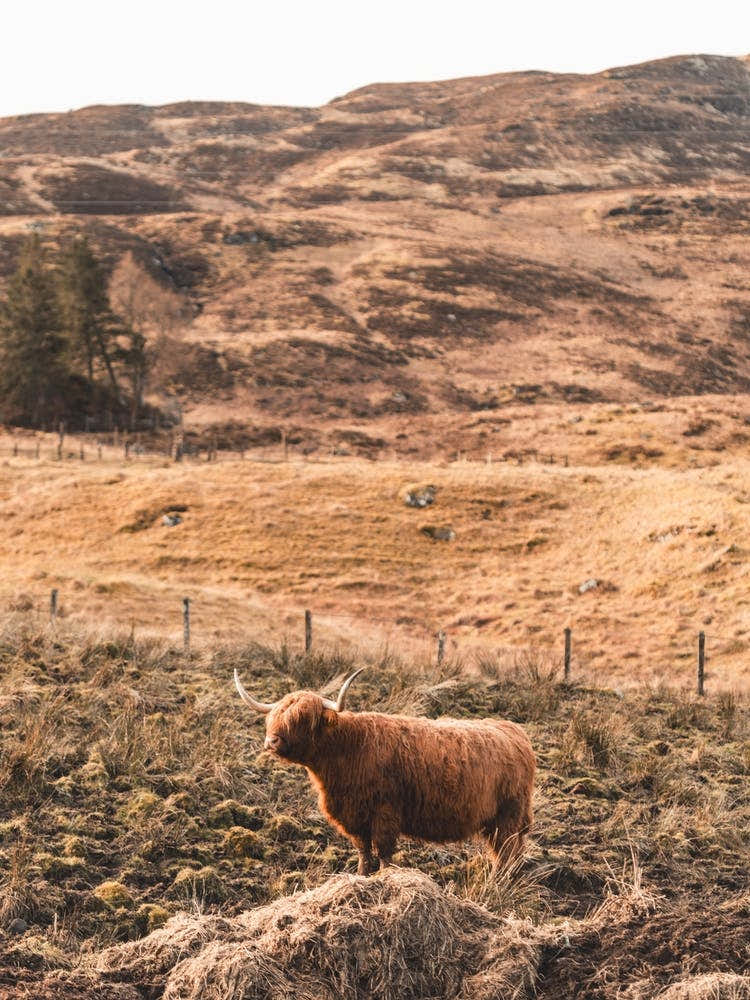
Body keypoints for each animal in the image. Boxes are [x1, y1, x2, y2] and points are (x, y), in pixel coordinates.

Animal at [234, 668, 535, 874]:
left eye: (302, 718)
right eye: (274, 717)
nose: (271, 742)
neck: (347, 749)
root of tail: (515, 732)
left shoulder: (385, 813)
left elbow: (384, 854)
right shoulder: (356, 817)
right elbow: (364, 853)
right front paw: (361, 877)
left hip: (508, 815)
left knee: (507, 853)